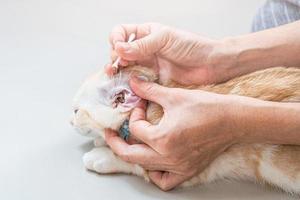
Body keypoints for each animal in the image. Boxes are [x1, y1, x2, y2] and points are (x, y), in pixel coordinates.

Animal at [71, 65, 300, 194]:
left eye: (76, 111)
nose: (69, 122)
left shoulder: (191, 170)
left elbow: (135, 162)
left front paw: (103, 155)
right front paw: (102, 140)